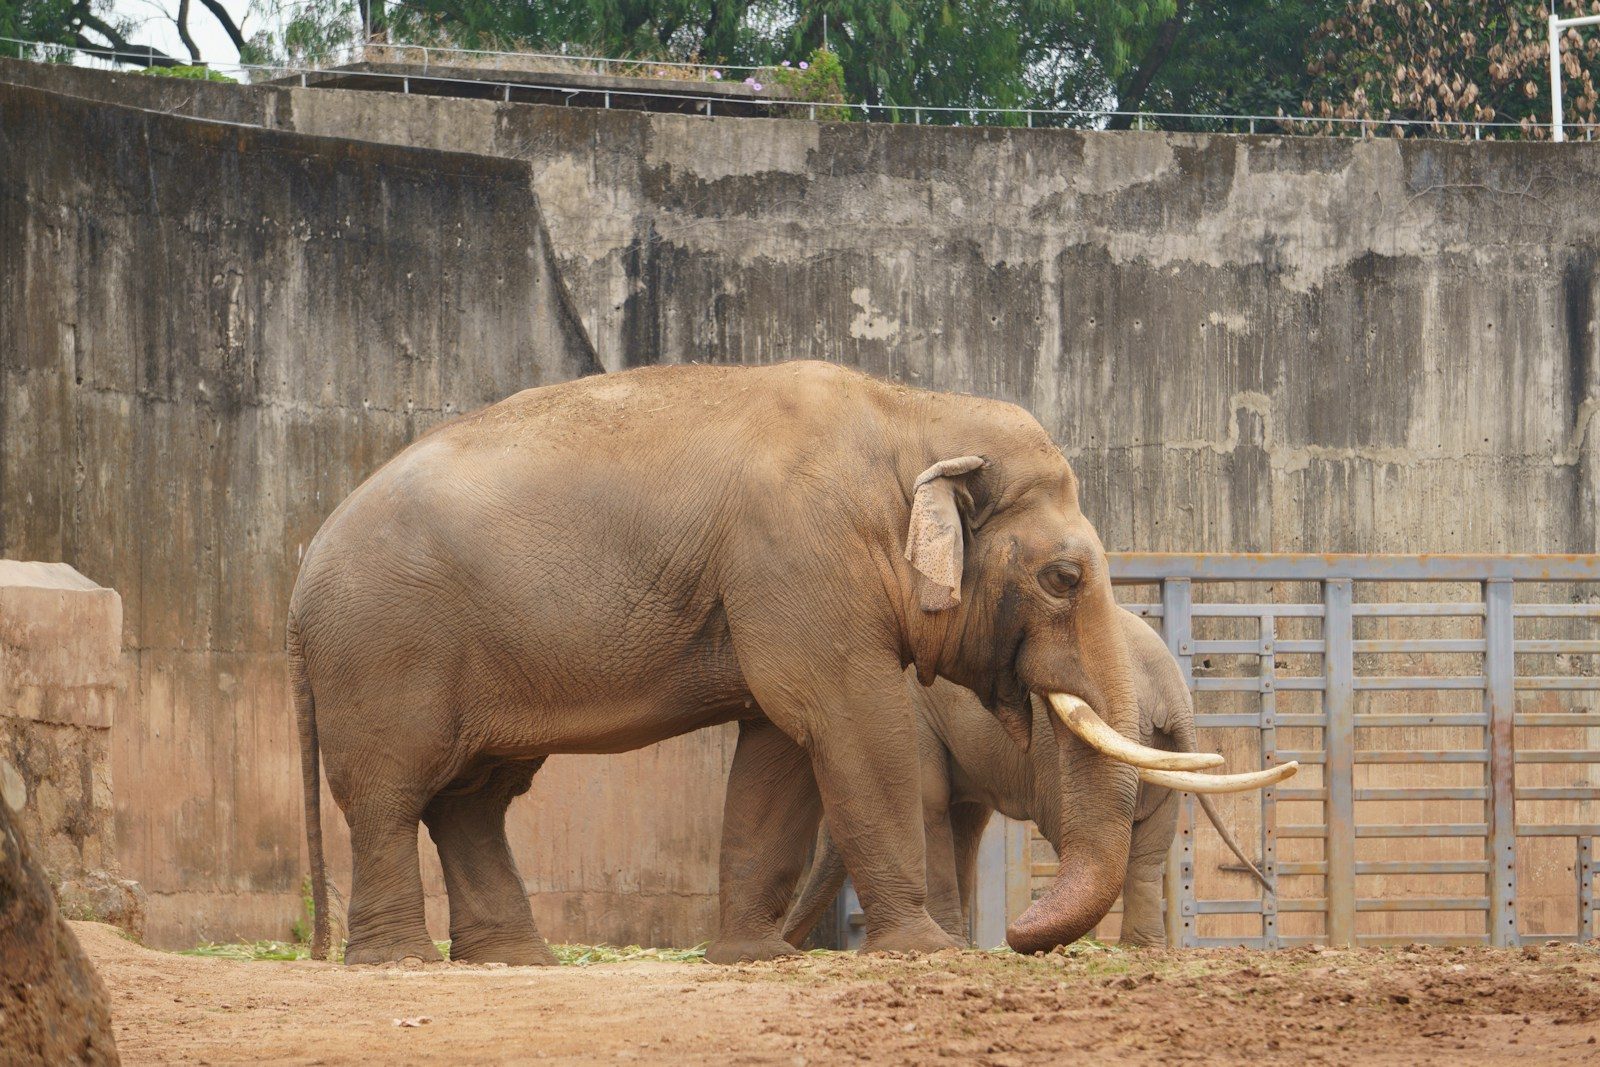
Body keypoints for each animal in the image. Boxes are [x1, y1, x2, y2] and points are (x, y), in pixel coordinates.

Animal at [780, 607, 1276, 951]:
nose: (789, 941)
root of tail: (1174, 694)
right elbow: (962, 822)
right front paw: (960, 944)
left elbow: (929, 807)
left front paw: (952, 946)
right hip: (1165, 753)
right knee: (1149, 851)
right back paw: (1140, 949)